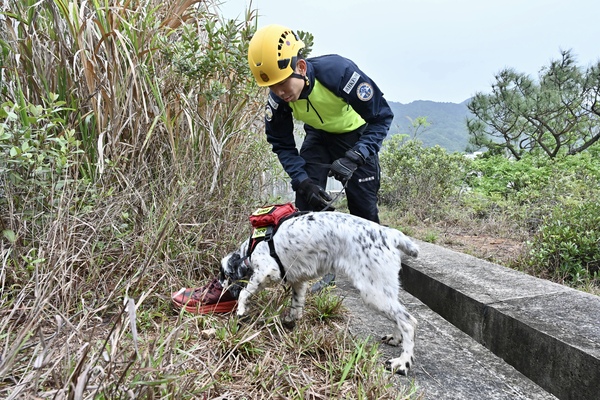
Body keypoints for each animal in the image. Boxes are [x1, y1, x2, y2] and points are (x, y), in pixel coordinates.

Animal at [218, 212, 420, 376]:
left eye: (224, 275)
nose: (219, 289)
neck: (251, 248)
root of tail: (390, 234)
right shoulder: (298, 282)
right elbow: (296, 306)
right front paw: (290, 321)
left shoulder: (266, 271)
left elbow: (245, 293)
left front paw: (240, 311)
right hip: (384, 291)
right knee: (399, 317)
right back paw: (395, 338)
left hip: (374, 293)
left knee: (408, 321)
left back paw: (402, 363)